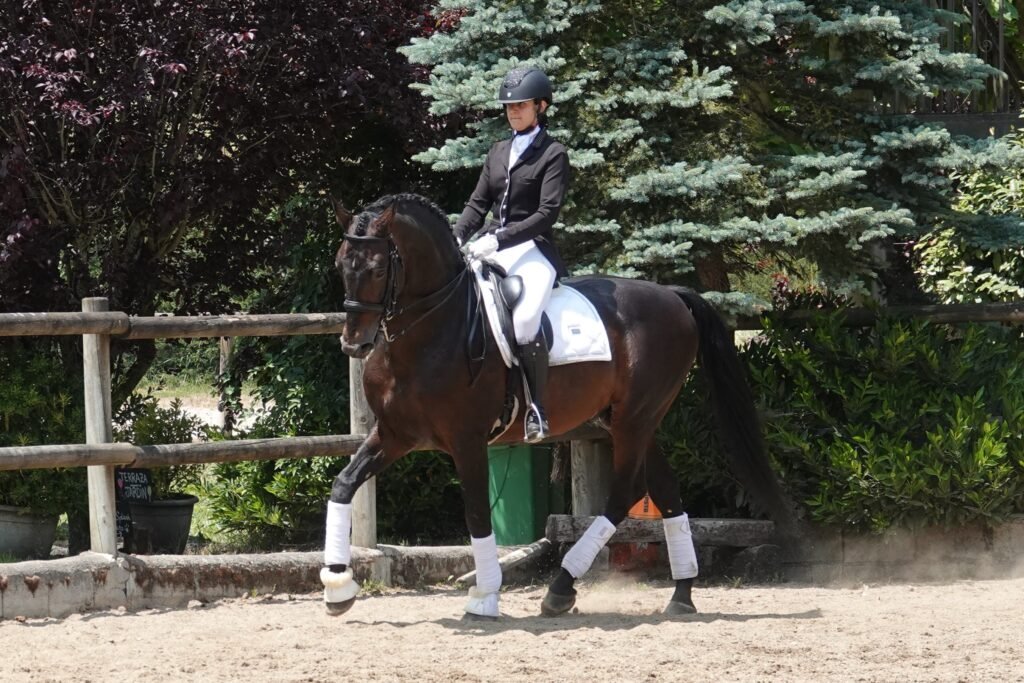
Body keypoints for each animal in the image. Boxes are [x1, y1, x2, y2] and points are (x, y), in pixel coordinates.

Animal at [319, 193, 799, 619]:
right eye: (342, 264)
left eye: (379, 268)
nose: (353, 343)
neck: (429, 331)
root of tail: (672, 296)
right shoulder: (395, 434)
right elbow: (343, 484)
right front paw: (338, 587)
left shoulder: (467, 440)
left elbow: (477, 514)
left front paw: (485, 597)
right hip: (634, 421)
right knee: (664, 489)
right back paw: (681, 595)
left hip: (634, 419)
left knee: (624, 493)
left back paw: (561, 588)